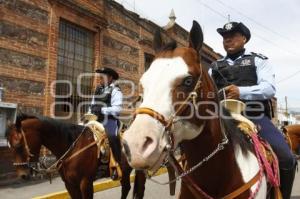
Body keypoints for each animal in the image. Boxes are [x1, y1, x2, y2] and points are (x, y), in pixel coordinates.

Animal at [6, 113, 147, 199]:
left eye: (18, 144)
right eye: (9, 145)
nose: (22, 175)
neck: (73, 147)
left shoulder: (85, 183)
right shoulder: (69, 184)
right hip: (125, 172)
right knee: (127, 187)